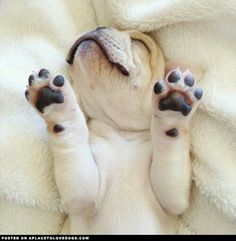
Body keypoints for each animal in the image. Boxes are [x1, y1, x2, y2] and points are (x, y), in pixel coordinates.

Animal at [25, 27, 203, 234]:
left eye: (139, 42)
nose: (97, 27)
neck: (123, 133)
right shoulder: (81, 194)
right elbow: (69, 138)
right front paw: (55, 106)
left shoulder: (173, 198)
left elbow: (171, 147)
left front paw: (174, 107)